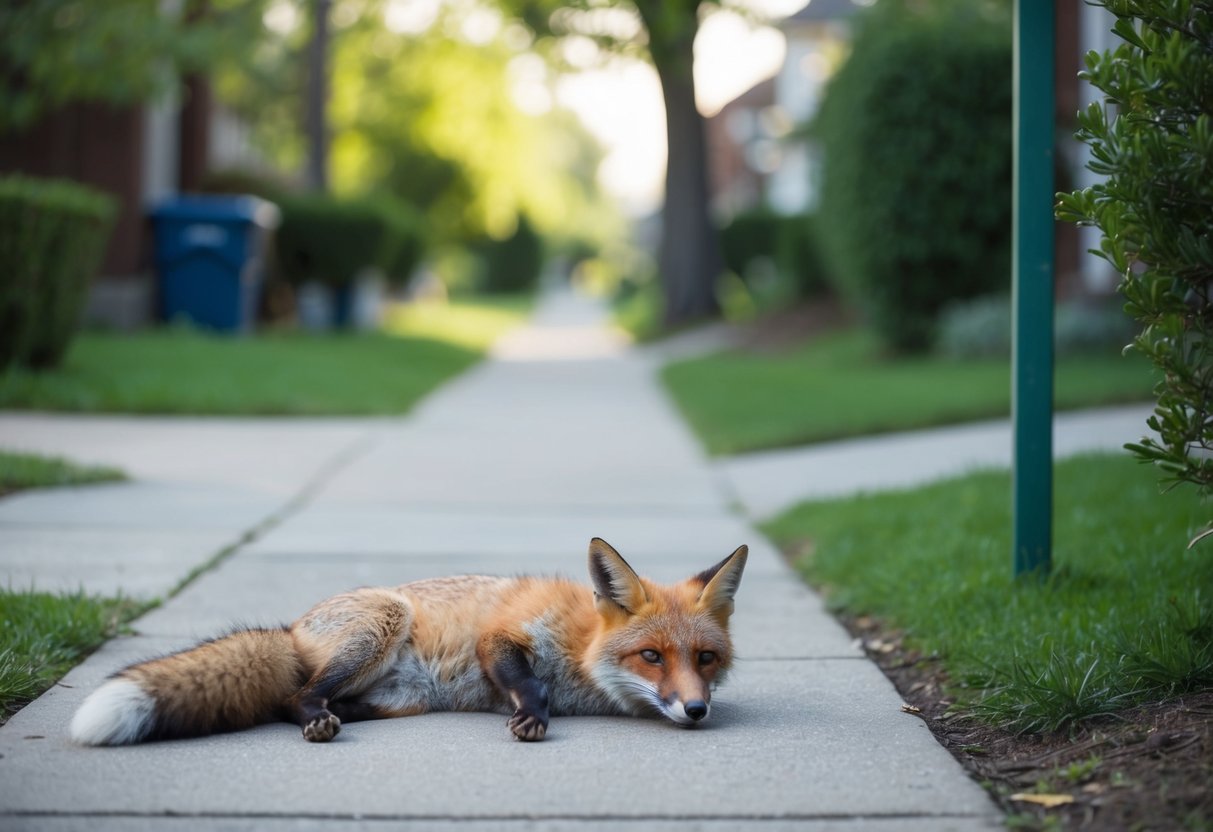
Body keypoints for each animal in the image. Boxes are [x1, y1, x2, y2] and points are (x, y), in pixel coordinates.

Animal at [70, 538, 747, 746]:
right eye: (651, 656)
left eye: (705, 659)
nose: (696, 710)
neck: (580, 649)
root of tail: (293, 629)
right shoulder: (502, 635)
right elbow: (528, 683)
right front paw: (532, 716)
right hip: (384, 621)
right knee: (294, 698)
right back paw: (314, 718)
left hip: (401, 699)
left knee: (293, 703)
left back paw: (330, 716)